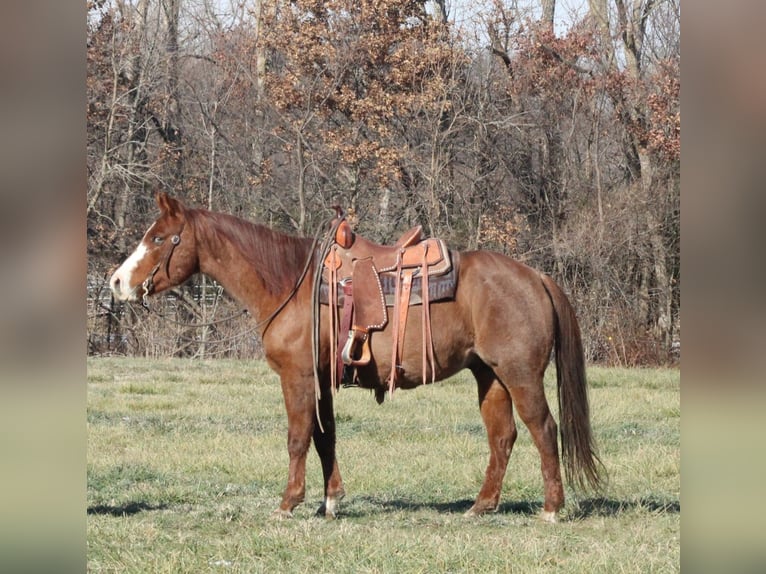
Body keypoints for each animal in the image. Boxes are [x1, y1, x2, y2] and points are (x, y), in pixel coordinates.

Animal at [109, 192, 602, 522]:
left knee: (544, 430)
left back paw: (551, 509)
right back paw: (481, 506)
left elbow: (297, 437)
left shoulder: (297, 377)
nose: (116, 282)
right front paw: (330, 501)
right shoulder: (322, 380)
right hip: (490, 377)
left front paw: (289, 502)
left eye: (158, 238)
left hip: (520, 375)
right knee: (502, 437)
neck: (289, 282)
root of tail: (536, 276)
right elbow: (325, 437)